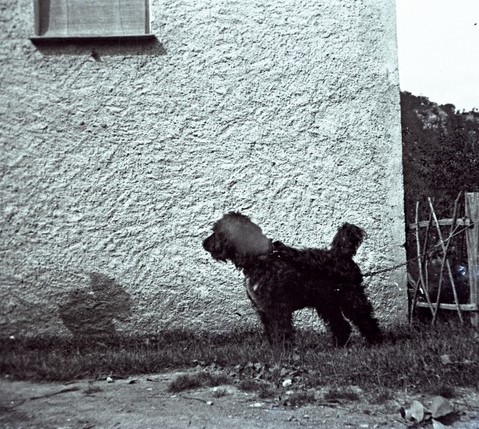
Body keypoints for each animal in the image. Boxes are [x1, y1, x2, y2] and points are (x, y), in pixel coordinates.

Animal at [202, 212, 382, 347]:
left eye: (217, 232)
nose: (204, 242)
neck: (261, 259)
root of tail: (340, 254)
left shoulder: (277, 307)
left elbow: (281, 330)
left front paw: (284, 351)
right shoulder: (264, 309)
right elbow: (271, 332)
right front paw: (275, 351)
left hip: (350, 297)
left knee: (366, 319)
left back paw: (375, 343)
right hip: (326, 302)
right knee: (341, 325)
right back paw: (339, 347)